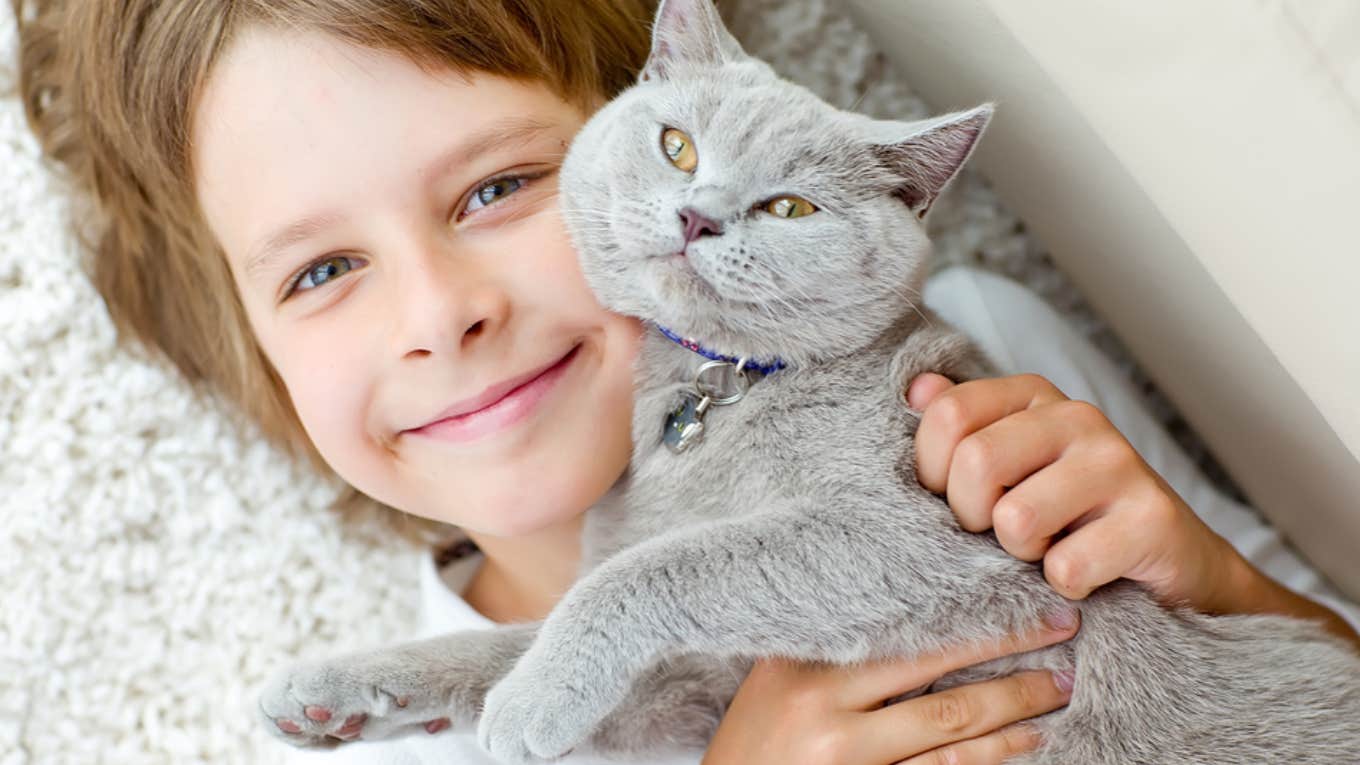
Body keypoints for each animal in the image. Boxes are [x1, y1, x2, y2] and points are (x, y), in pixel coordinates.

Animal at [257, 2, 1360, 756]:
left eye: (789, 208)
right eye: (676, 145)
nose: (698, 215)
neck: (714, 398)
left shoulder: (918, 538)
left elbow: (651, 571)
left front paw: (529, 703)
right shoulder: (707, 696)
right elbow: (514, 639)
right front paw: (338, 688)